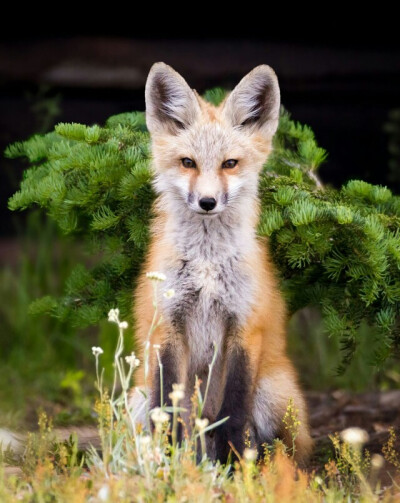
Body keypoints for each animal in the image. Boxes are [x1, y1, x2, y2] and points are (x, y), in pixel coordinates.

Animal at [130, 62, 312, 464]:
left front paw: (235, 465)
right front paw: (170, 465)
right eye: (188, 163)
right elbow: (168, 410)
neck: (207, 265)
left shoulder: (245, 326)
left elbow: (235, 410)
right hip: (136, 399)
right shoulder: (168, 324)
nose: (208, 202)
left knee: (286, 450)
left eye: (230, 164)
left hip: (273, 396)